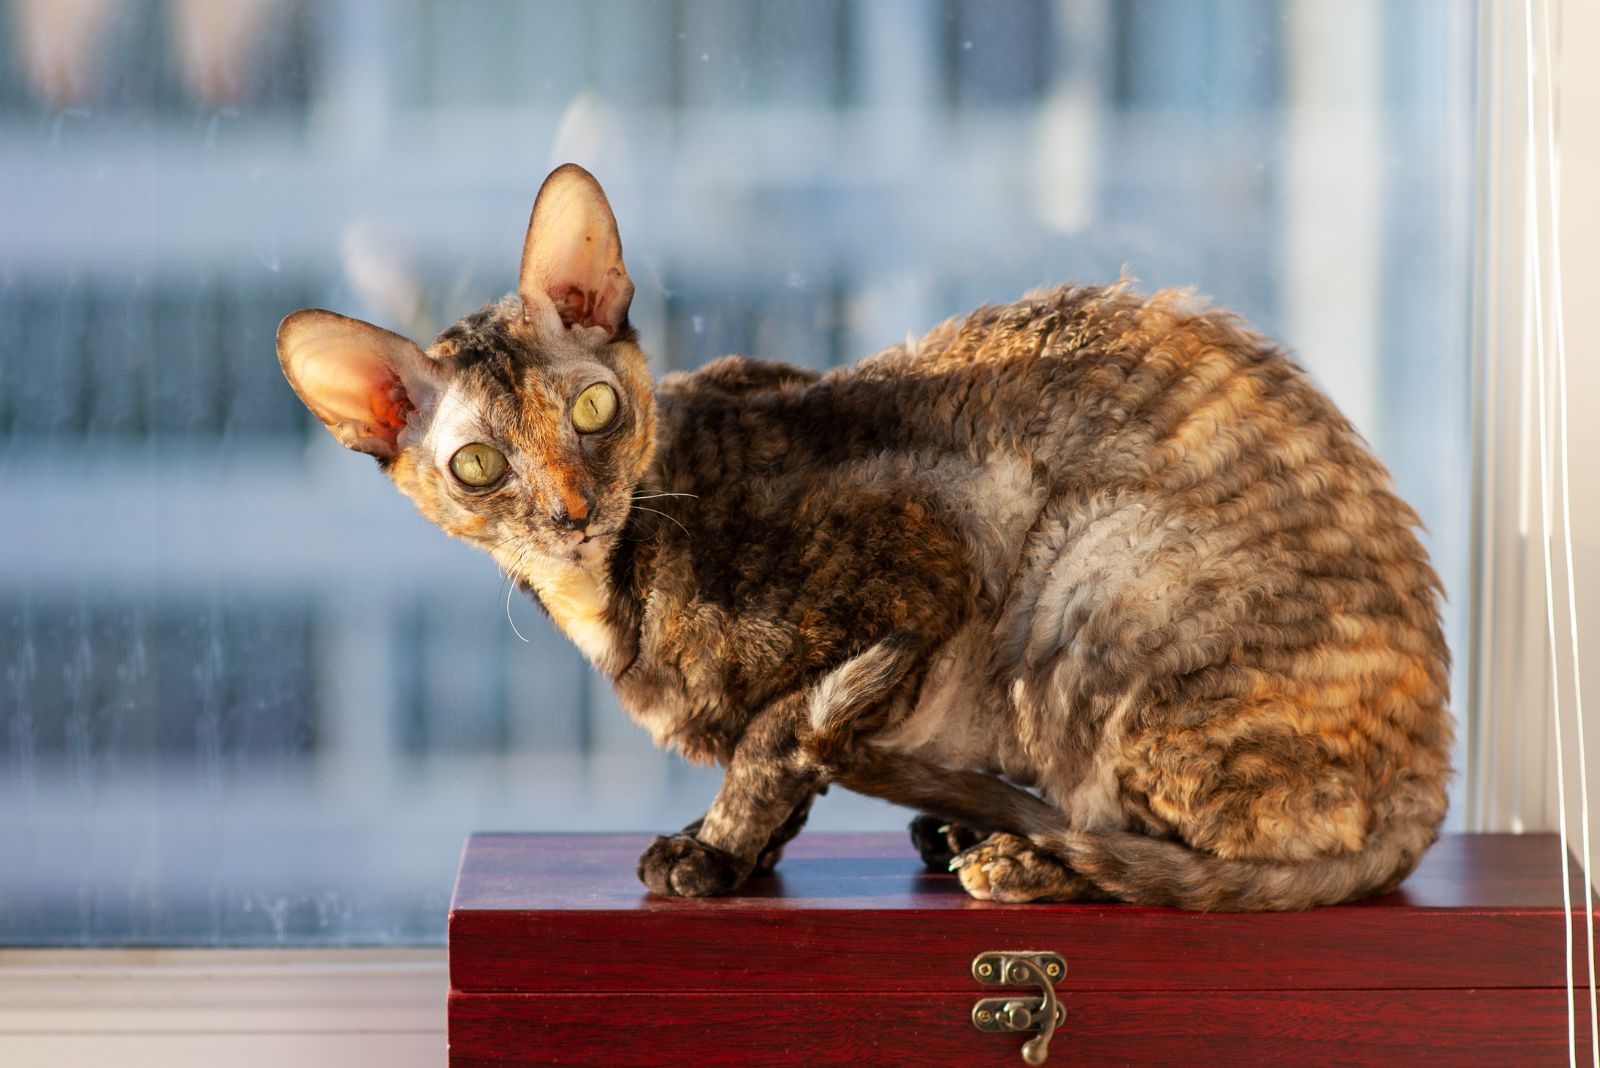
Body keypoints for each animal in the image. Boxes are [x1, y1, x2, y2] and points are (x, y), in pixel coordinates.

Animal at [275, 164, 1452, 908]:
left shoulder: (936, 568)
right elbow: (793, 752)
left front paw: (712, 849)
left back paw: (1021, 860)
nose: (571, 508)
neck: (602, 595)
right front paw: (745, 851)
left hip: (1093, 564)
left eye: (595, 411)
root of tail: (1432, 777)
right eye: (478, 466)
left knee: (1228, 850)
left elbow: (775, 733)